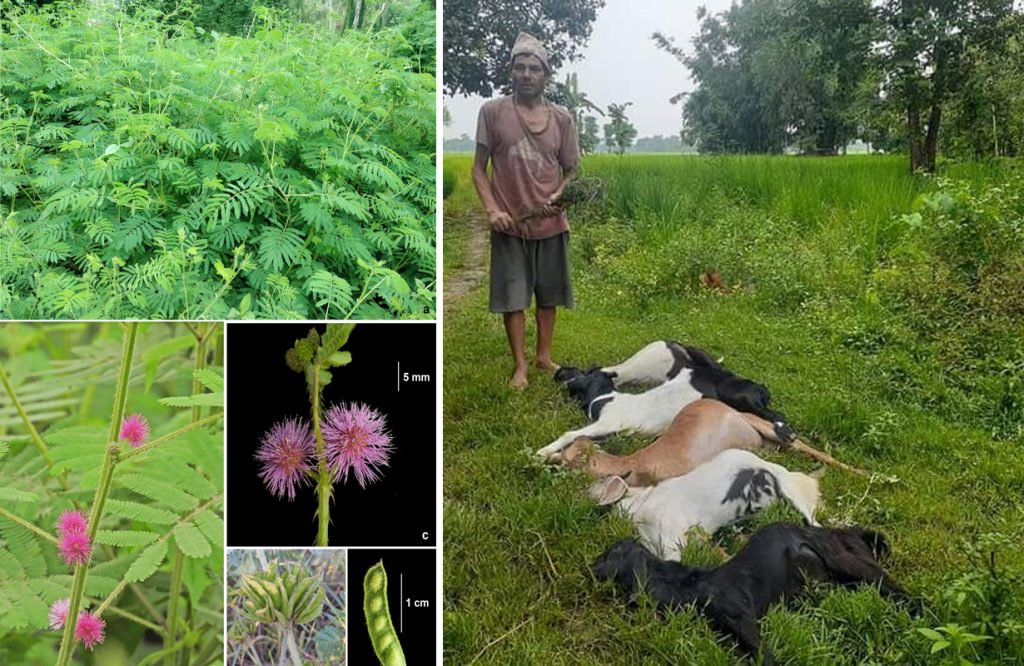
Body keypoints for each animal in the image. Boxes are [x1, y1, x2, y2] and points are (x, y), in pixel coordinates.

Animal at [589, 520, 917, 659]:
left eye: (606, 555)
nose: (587, 568)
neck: (683, 585)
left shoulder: (743, 619)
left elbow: (764, 655)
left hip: (850, 563)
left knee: (902, 592)